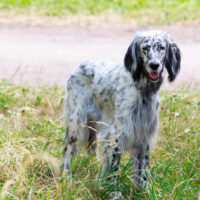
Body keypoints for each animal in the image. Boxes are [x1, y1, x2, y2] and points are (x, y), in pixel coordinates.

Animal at [63, 30, 181, 193]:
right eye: (145, 48)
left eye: (162, 47)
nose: (154, 65)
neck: (142, 91)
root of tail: (80, 65)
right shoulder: (117, 135)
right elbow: (114, 170)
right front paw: (113, 192)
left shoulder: (143, 134)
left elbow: (143, 170)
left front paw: (144, 191)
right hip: (77, 120)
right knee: (67, 149)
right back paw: (66, 178)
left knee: (92, 148)